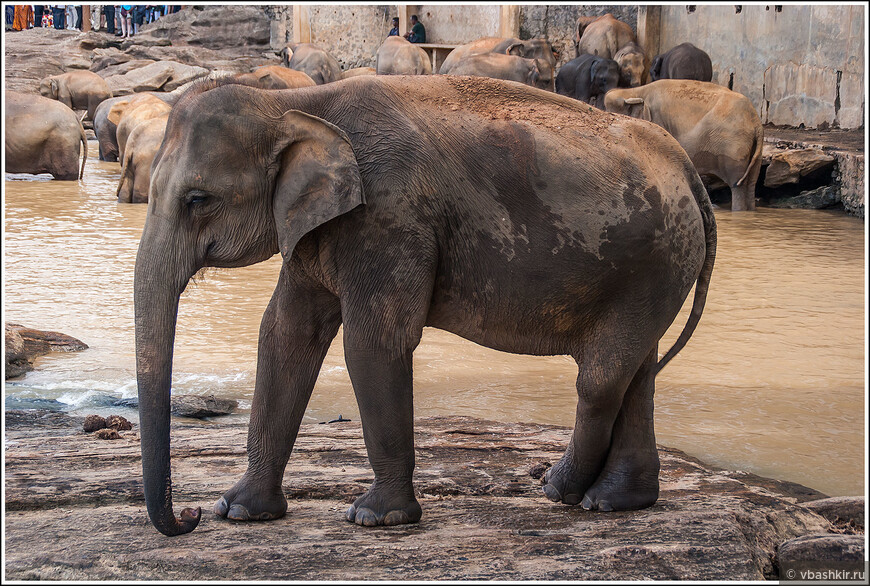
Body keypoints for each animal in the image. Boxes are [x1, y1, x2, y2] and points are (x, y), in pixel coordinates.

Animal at [131, 75, 716, 536]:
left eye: (197, 200)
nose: (188, 516)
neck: (295, 101)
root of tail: (689, 170)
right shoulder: (316, 226)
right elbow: (284, 335)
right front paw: (239, 512)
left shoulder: (389, 216)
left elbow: (372, 344)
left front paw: (376, 519)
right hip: (655, 269)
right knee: (637, 375)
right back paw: (616, 502)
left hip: (654, 263)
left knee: (601, 380)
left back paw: (560, 490)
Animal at [608, 78, 764, 209]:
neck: (635, 91)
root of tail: (756, 121)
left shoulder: (658, 122)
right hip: (753, 152)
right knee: (751, 184)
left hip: (733, 147)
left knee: (737, 185)